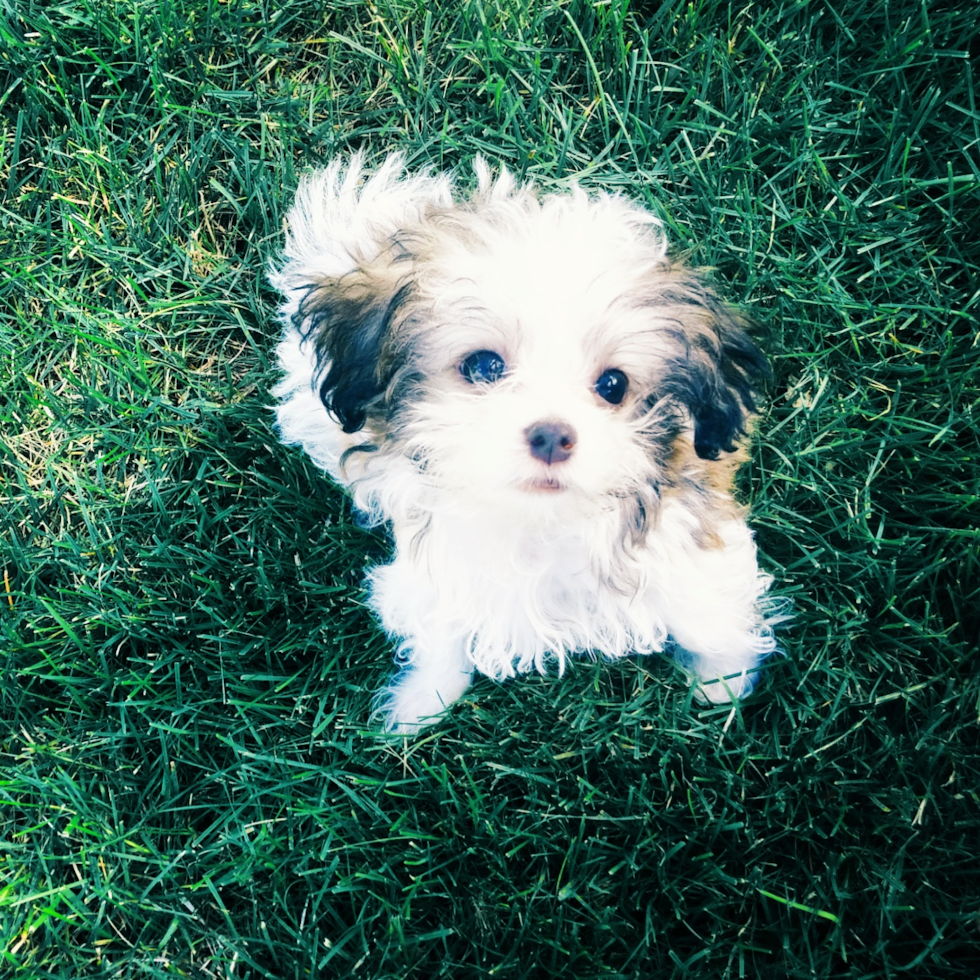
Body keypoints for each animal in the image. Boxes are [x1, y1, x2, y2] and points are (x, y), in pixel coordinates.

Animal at [270, 153, 780, 732]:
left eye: (614, 385)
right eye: (484, 366)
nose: (552, 435)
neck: (542, 525)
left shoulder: (689, 541)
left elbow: (707, 613)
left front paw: (723, 684)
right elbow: (440, 634)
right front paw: (422, 704)